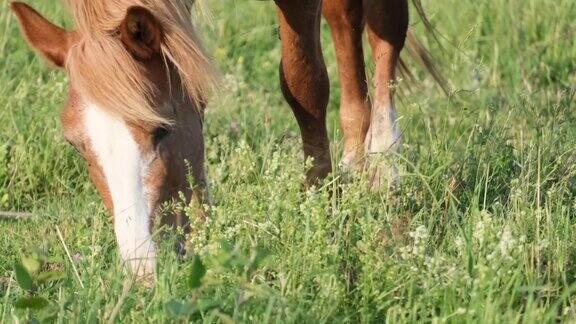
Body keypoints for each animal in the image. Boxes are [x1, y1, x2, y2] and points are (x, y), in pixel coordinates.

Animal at [10, 0, 436, 278]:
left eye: (161, 130)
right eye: (75, 145)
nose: (141, 268)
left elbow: (304, 81)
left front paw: (326, 203)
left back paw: (381, 168)